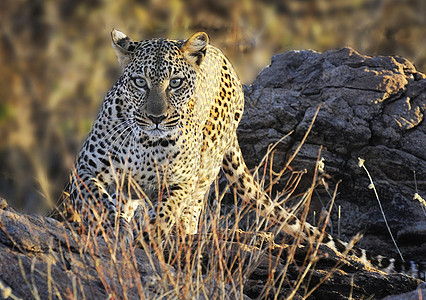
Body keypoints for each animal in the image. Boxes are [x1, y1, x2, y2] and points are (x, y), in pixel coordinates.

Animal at [57, 29, 422, 280]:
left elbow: (165, 211)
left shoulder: (179, 182)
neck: (146, 141)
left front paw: (148, 237)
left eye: (175, 83)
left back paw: (180, 236)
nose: (157, 117)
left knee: (190, 212)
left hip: (205, 170)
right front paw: (116, 227)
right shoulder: (86, 171)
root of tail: (222, 57)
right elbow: (98, 199)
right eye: (139, 82)